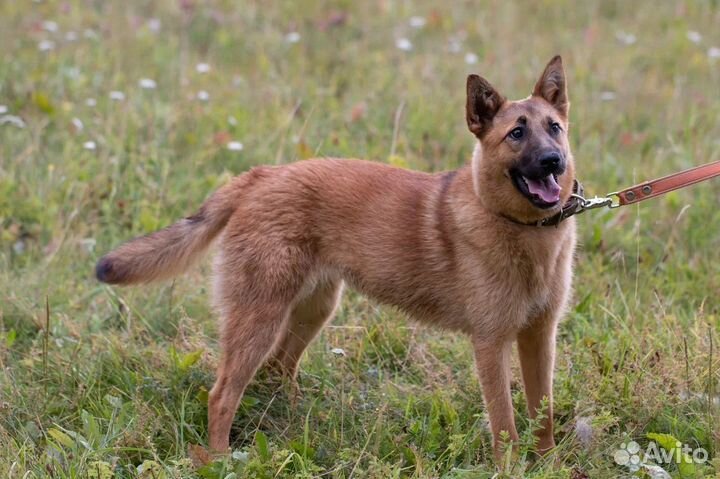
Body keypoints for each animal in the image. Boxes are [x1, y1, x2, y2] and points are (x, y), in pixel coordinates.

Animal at [95, 56, 576, 462]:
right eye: (516, 133)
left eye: (554, 128)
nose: (554, 161)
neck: (523, 231)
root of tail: (260, 176)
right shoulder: (491, 344)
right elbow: (505, 425)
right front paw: (511, 468)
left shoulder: (539, 337)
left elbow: (544, 414)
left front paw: (549, 464)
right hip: (258, 319)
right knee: (222, 395)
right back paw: (219, 459)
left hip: (312, 311)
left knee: (278, 370)